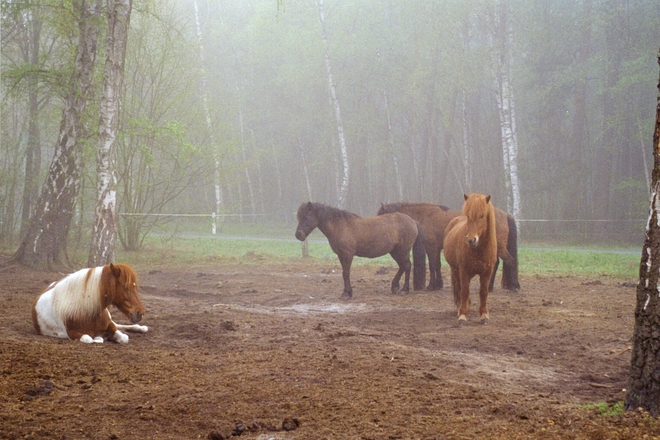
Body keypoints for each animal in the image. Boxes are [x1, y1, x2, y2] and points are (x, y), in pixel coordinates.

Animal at [296, 202, 428, 300]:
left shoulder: (347, 255)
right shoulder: (341, 255)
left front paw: (346, 294)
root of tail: (413, 221)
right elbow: (344, 273)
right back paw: (395, 287)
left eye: (306, 217)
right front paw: (348, 292)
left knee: (407, 266)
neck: (340, 225)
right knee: (402, 266)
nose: (298, 235)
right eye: (298, 217)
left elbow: (346, 273)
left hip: (402, 251)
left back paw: (404, 290)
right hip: (395, 252)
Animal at [374, 201, 520, 290]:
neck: (423, 215)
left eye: (381, 215)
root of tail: (506, 215)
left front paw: (431, 285)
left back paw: (514, 286)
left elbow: (432, 266)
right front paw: (438, 284)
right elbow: (437, 265)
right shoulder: (437, 249)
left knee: (510, 261)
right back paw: (489, 286)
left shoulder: (431, 248)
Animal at [440, 194, 498, 324]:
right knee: (459, 287)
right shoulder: (464, 271)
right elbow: (465, 291)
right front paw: (462, 316)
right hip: (455, 270)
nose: (471, 240)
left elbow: (483, 292)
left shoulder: (487, 272)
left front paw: (484, 315)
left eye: (482, 215)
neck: (479, 249)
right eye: (468, 216)